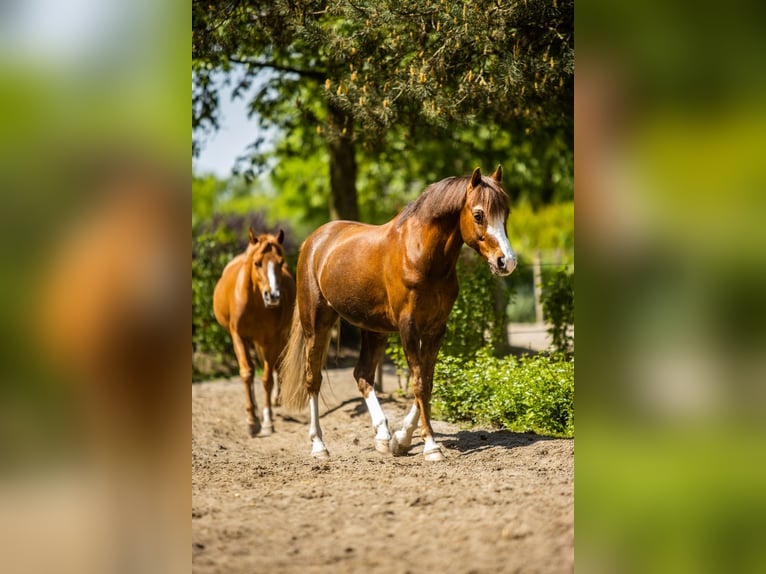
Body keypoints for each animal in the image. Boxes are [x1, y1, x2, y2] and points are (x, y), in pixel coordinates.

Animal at [213, 228, 296, 437]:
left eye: (280, 262)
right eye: (257, 263)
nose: (273, 296)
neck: (255, 303)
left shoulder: (272, 340)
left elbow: (267, 379)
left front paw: (267, 421)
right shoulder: (238, 336)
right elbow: (246, 373)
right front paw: (252, 420)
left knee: (278, 366)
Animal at [279, 166, 516, 461]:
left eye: (506, 213)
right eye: (478, 214)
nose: (507, 261)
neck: (421, 256)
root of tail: (313, 242)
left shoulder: (436, 329)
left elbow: (427, 381)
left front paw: (402, 439)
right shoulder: (408, 328)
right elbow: (419, 383)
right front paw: (431, 446)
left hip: (373, 329)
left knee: (362, 375)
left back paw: (383, 436)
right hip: (317, 324)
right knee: (313, 379)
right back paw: (319, 446)